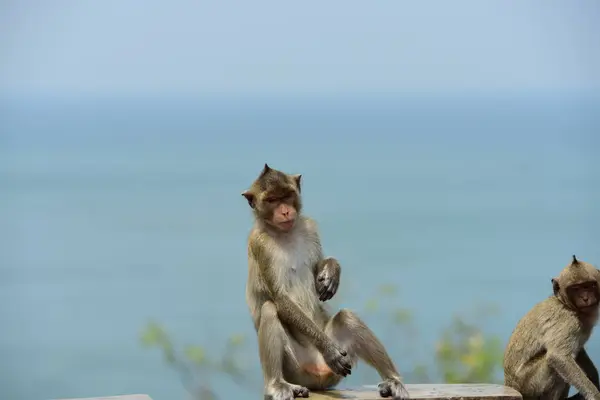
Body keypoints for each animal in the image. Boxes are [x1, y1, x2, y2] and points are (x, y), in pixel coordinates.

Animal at [241, 163, 410, 400]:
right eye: (272, 200)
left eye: (287, 195)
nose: (285, 211)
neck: (284, 233)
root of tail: (318, 376)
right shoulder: (260, 245)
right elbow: (280, 298)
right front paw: (329, 351)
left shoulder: (309, 226)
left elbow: (317, 267)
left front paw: (331, 270)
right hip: (296, 368)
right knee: (269, 308)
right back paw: (277, 385)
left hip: (334, 363)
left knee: (347, 317)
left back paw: (393, 380)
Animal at [502, 256, 600, 400]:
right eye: (575, 288)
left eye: (589, 285)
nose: (585, 298)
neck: (566, 304)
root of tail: (510, 384)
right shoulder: (567, 321)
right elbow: (558, 356)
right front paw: (595, 394)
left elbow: (578, 349)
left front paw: (594, 377)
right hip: (529, 383)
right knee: (553, 365)